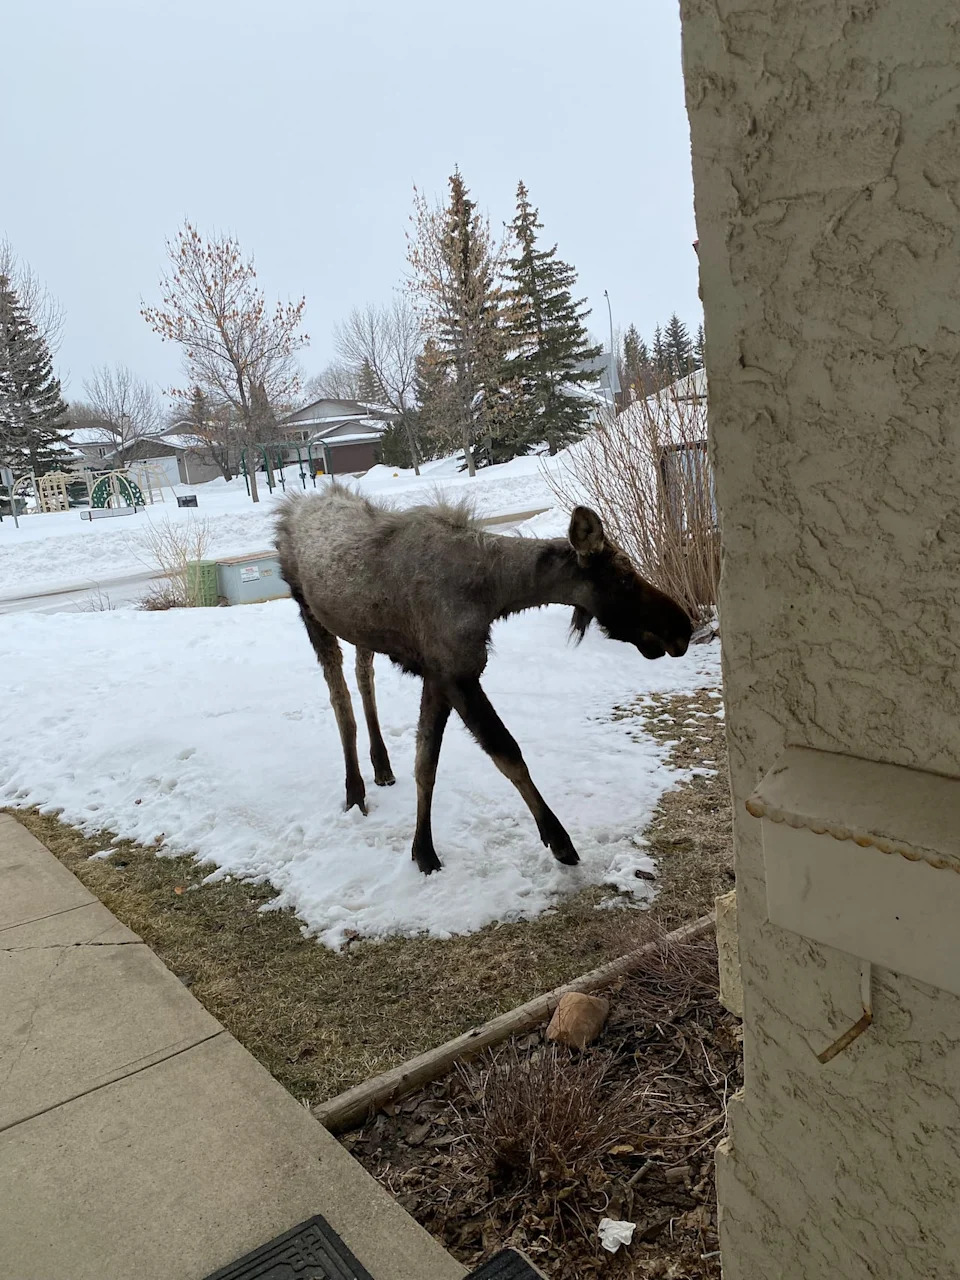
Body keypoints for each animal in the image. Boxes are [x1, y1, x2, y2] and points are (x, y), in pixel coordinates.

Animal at [275, 484, 692, 875]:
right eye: (623, 578)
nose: (683, 628)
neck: (491, 596)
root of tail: (293, 506)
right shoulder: (457, 675)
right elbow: (506, 753)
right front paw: (558, 840)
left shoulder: (440, 675)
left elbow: (425, 765)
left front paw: (422, 849)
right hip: (310, 612)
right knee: (339, 696)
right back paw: (354, 789)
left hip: (361, 632)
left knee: (365, 677)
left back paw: (382, 766)